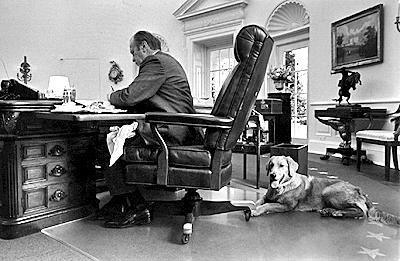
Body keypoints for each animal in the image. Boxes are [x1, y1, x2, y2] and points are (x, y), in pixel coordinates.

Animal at [252, 154, 398, 225]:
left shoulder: (287, 205)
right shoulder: (266, 196)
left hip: (329, 191)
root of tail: (359, 189)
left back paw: (338, 213)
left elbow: (267, 205)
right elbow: (259, 201)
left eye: (281, 165)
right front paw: (253, 206)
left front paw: (256, 211)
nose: (272, 175)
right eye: (271, 165)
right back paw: (330, 211)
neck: (281, 187)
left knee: (362, 211)